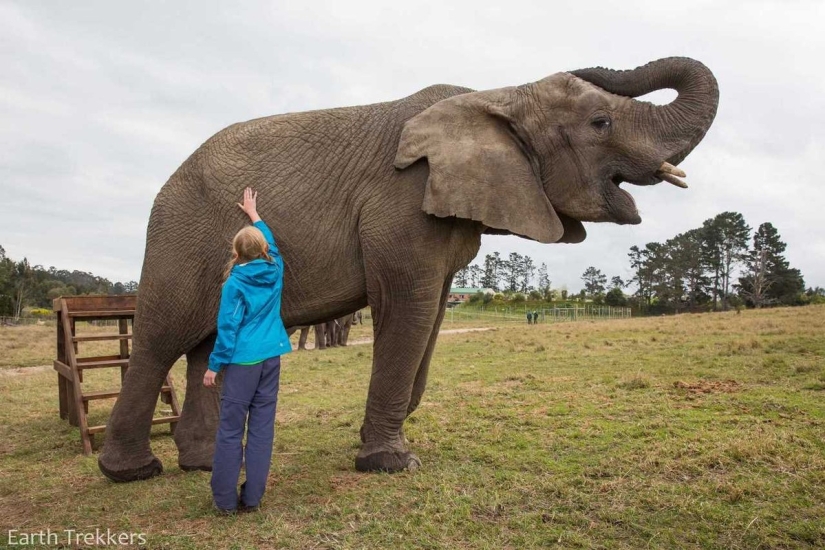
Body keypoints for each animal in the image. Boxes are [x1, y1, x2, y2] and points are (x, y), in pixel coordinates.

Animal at [96, 57, 716, 484]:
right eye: (600, 121)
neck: (499, 97)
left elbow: (432, 314)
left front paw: (380, 438)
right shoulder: (401, 205)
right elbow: (408, 309)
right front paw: (392, 463)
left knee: (204, 346)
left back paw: (204, 467)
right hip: (179, 238)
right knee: (161, 340)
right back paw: (133, 473)